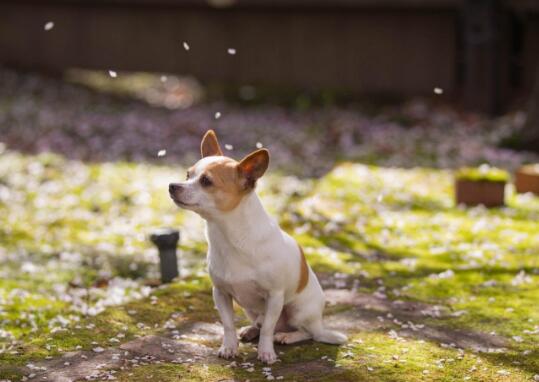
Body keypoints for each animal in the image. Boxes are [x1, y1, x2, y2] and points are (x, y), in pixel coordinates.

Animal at [169, 131, 346, 364]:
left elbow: (269, 329)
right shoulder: (221, 293)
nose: (172, 185)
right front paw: (229, 347)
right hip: (251, 310)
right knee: (261, 323)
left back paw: (287, 336)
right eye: (187, 175)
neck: (230, 237)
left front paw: (266, 352)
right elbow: (228, 324)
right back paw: (251, 330)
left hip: (298, 310)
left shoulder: (275, 296)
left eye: (206, 181)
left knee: (307, 332)